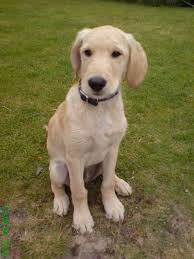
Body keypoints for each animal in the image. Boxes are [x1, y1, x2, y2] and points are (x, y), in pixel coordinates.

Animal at [46, 25, 147, 235]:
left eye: (116, 54)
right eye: (87, 52)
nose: (96, 83)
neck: (100, 108)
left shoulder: (113, 149)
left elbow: (106, 183)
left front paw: (112, 205)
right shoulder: (74, 158)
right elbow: (78, 191)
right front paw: (82, 218)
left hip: (103, 161)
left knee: (108, 176)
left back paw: (120, 183)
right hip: (58, 168)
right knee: (57, 185)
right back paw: (60, 201)